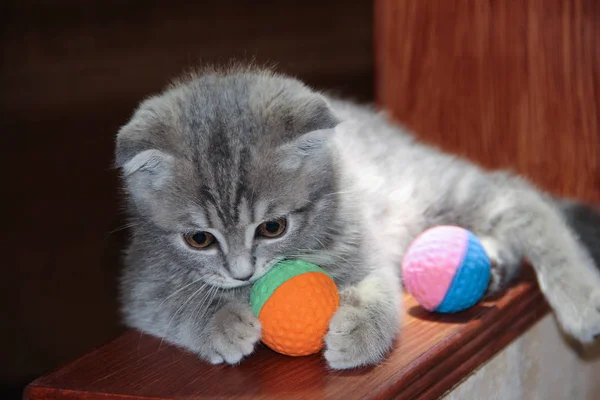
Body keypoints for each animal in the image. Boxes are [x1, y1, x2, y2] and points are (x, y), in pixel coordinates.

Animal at [116, 65, 600, 368]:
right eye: (199, 239)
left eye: (272, 228)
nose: (242, 273)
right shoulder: (141, 283)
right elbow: (172, 305)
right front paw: (220, 323)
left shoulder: (363, 243)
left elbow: (380, 287)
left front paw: (361, 333)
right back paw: (496, 265)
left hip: (424, 191)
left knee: (517, 197)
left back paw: (578, 294)